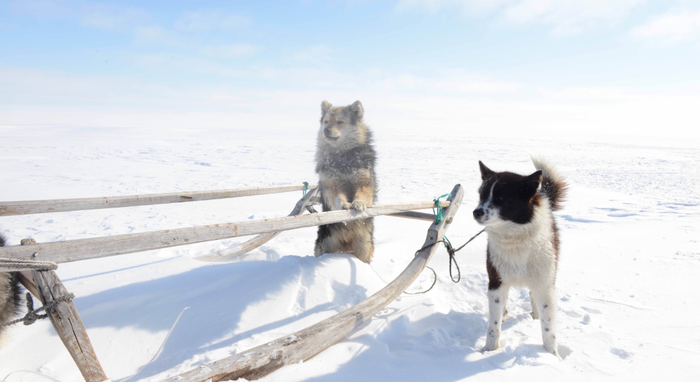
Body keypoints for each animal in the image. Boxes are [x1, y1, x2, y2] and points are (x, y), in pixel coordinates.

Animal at [474, 157, 568, 356]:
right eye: (482, 195)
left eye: (501, 197)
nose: (476, 212)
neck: (515, 239)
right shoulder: (496, 281)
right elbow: (493, 326)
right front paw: (489, 350)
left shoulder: (545, 285)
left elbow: (548, 330)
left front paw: (551, 356)